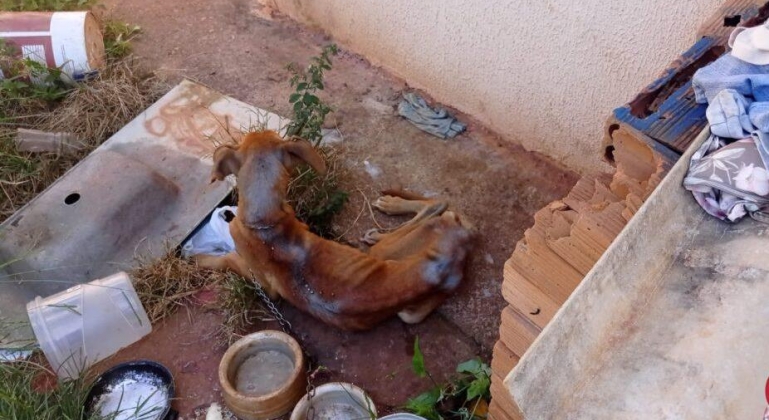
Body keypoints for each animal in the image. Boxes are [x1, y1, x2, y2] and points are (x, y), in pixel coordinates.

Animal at [196, 131, 474, 332]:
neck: (265, 219)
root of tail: (462, 243)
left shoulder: (266, 287)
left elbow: (228, 260)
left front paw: (199, 259)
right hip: (409, 310)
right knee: (436, 206)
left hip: (399, 247)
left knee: (436, 205)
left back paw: (389, 210)